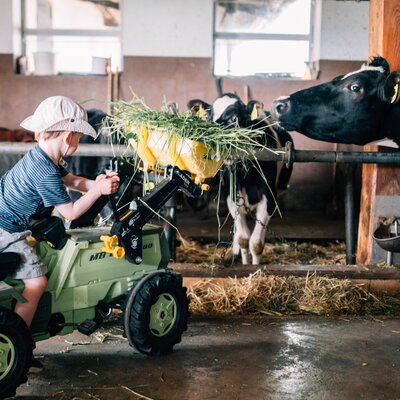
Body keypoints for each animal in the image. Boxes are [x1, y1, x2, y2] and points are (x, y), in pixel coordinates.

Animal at [188, 92, 294, 264]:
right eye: (209, 117)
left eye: (234, 118)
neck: (246, 176)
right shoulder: (232, 197)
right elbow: (243, 239)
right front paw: (244, 262)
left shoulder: (269, 199)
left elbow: (256, 243)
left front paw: (255, 266)